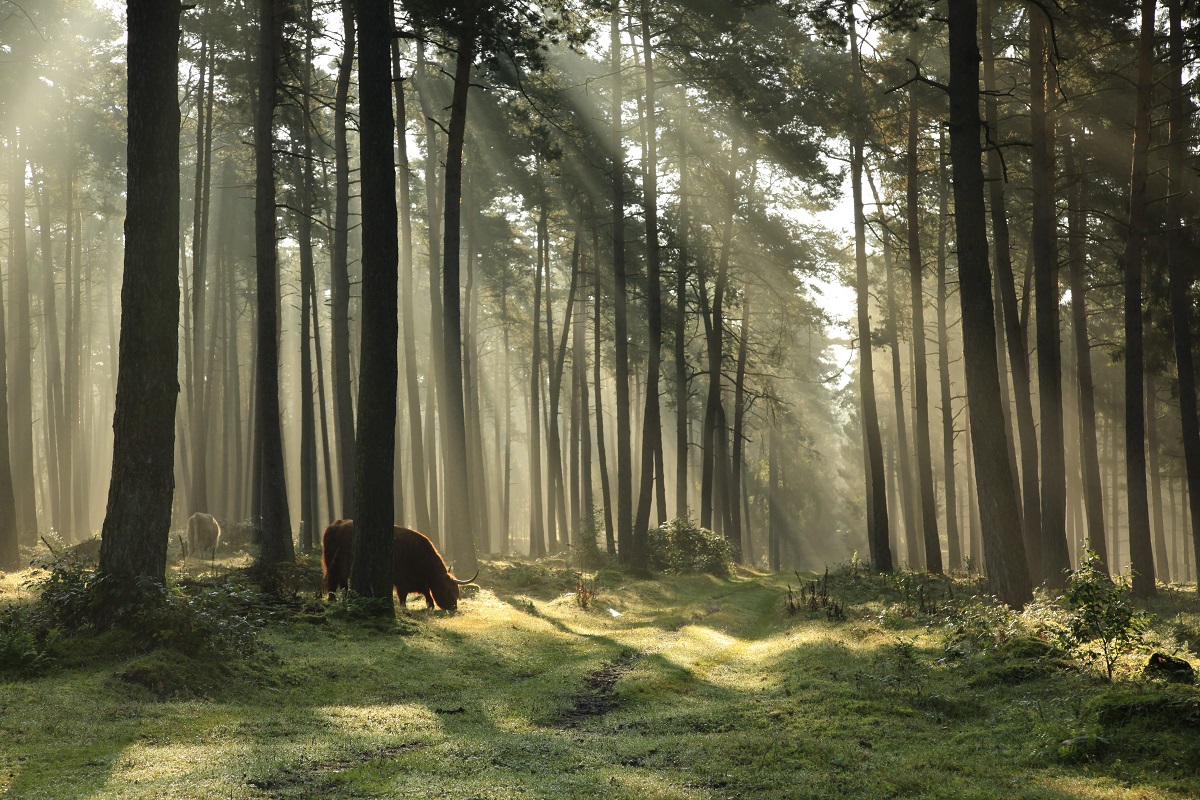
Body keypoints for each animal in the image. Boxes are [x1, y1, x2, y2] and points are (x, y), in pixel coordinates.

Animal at [319, 515, 477, 609]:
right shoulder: (402, 581)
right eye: (449, 589)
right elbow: (404, 597)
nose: (454, 606)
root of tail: (335, 525)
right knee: (334, 581)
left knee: (341, 582)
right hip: (335, 564)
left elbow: (427, 593)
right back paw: (333, 600)